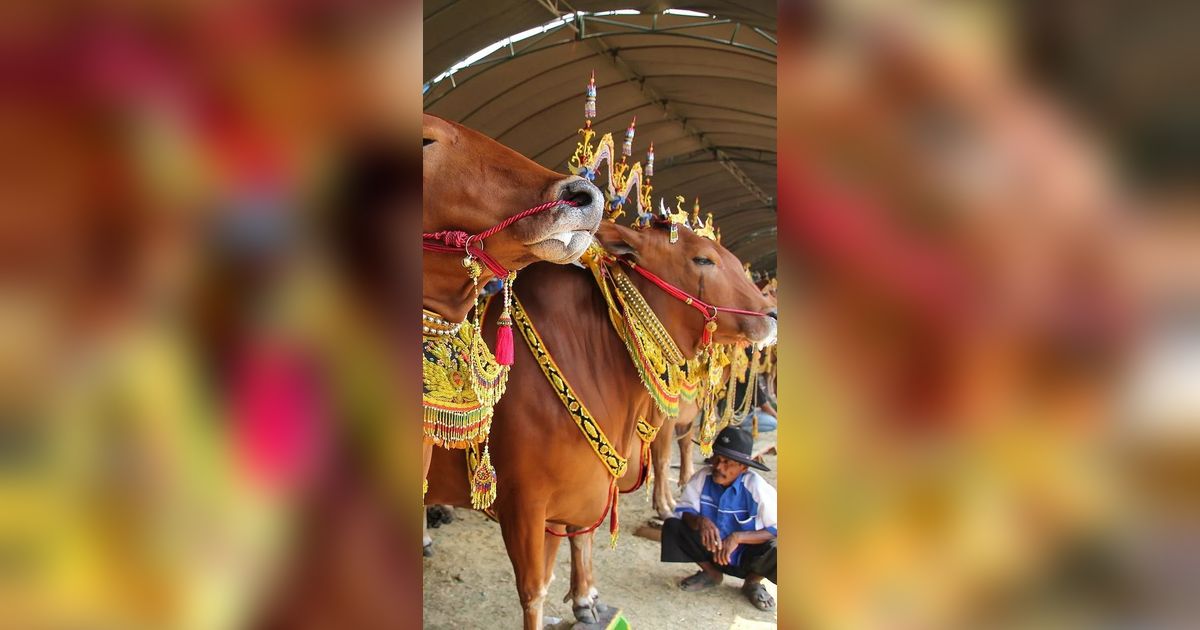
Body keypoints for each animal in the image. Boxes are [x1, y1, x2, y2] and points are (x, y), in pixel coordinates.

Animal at [427, 218, 772, 624]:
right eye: (703, 259)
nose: (770, 314)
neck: (588, 353)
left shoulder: (587, 483)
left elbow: (581, 539)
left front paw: (586, 600)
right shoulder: (523, 503)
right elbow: (534, 590)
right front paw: (666, 506)